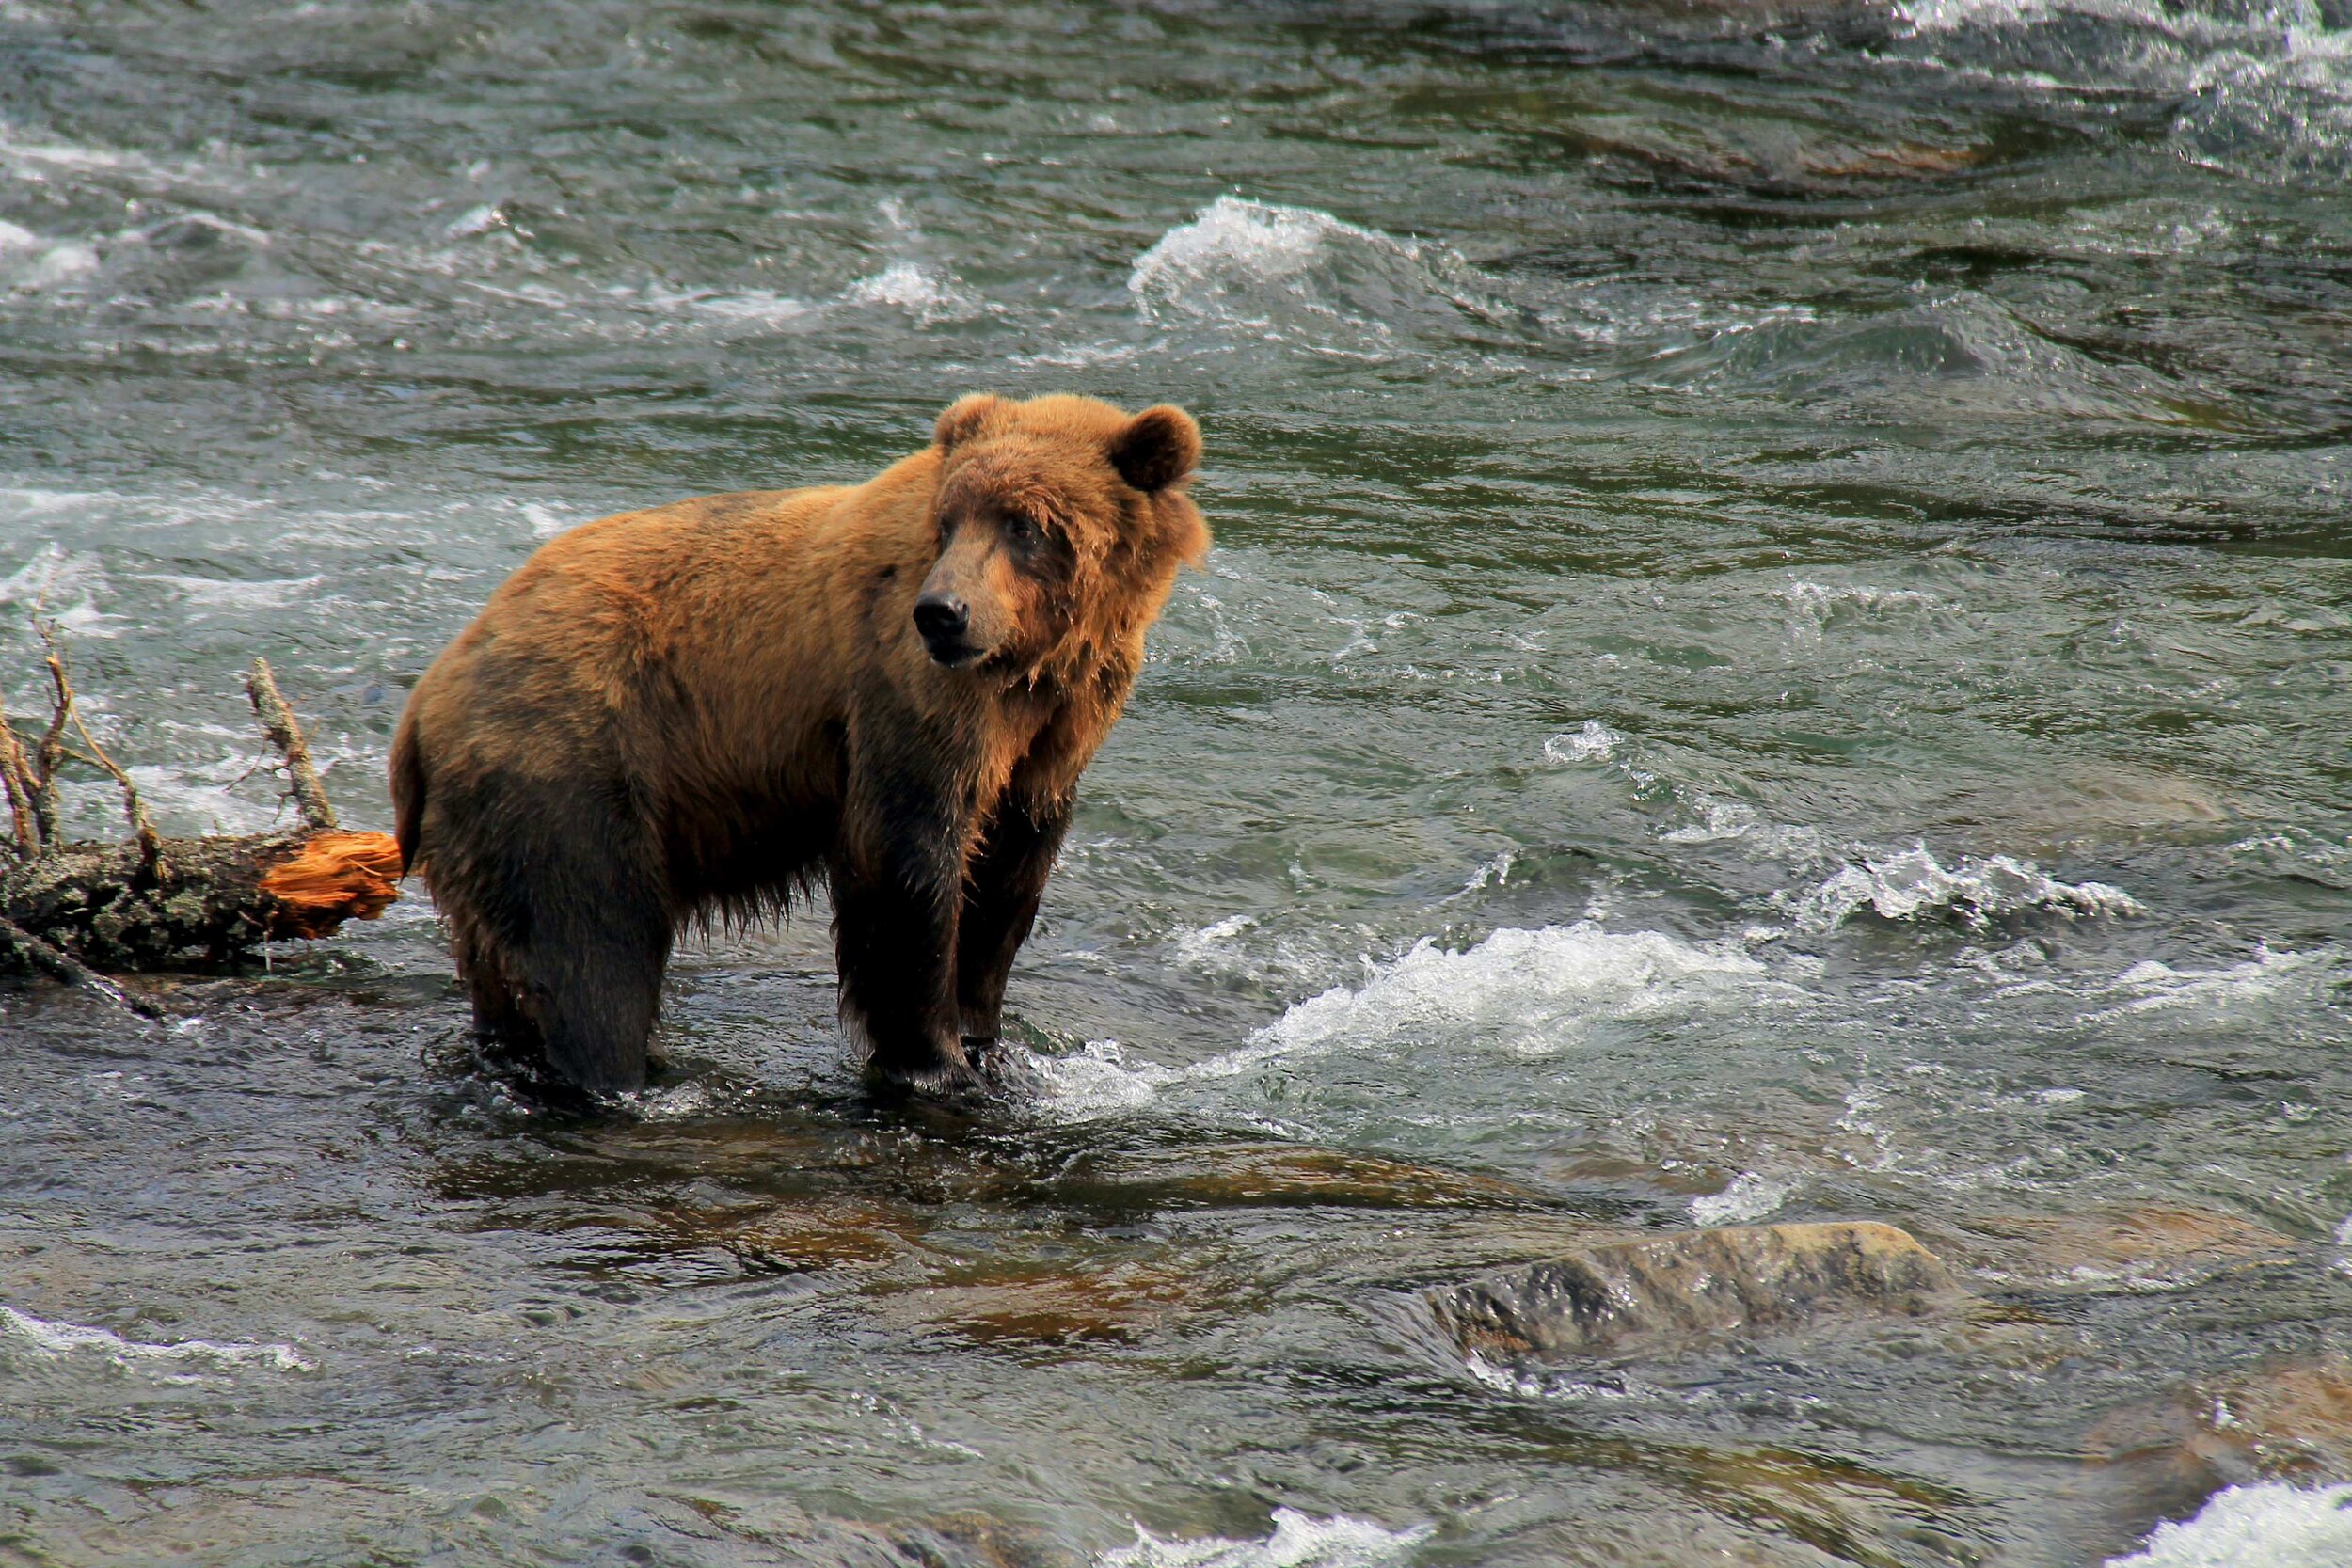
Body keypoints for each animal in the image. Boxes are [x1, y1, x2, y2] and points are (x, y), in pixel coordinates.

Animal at [388, 394, 1214, 1090]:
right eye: (951, 521)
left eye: (1026, 524)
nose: (943, 612)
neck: (1028, 668)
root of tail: (423, 705)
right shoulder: (904, 693)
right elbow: (908, 861)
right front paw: (934, 1059)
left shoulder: (1056, 730)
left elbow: (1010, 871)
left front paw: (987, 1037)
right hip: (569, 768)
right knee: (595, 948)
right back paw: (617, 1074)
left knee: (505, 970)